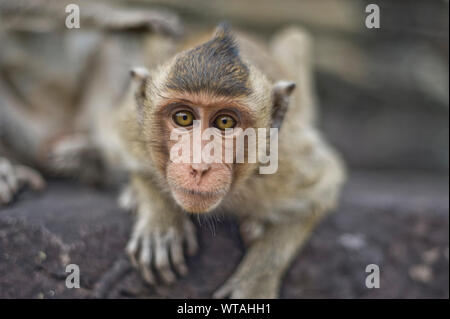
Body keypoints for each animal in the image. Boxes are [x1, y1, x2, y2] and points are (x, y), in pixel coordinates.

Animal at [96, 24, 344, 300]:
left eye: (225, 122)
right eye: (183, 117)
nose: (199, 166)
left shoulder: (286, 161)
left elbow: (322, 189)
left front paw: (256, 280)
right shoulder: (130, 127)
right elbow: (119, 146)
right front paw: (160, 217)